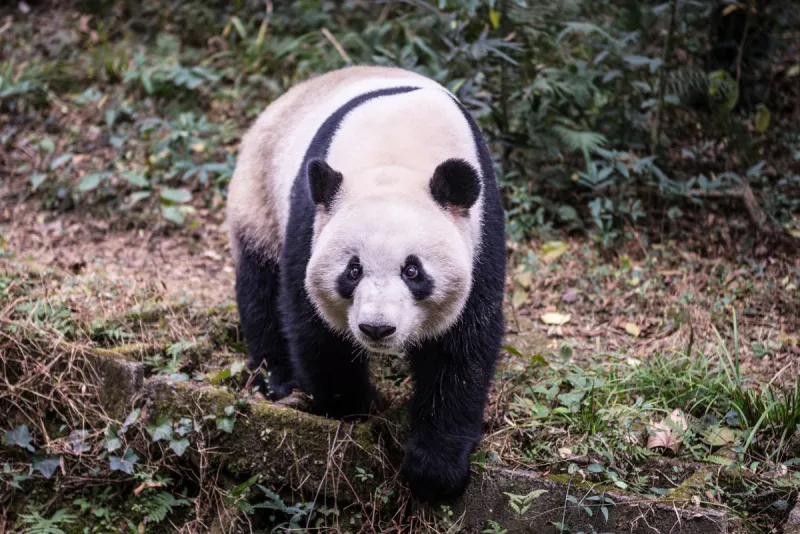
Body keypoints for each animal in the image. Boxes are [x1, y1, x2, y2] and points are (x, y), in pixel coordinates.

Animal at [228, 65, 506, 504]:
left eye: (413, 271)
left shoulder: (480, 231)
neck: (395, 155)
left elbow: (463, 347)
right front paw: (356, 407)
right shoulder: (311, 218)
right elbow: (314, 326)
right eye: (353, 270)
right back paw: (281, 379)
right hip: (259, 191)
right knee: (260, 287)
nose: (377, 328)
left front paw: (436, 470)